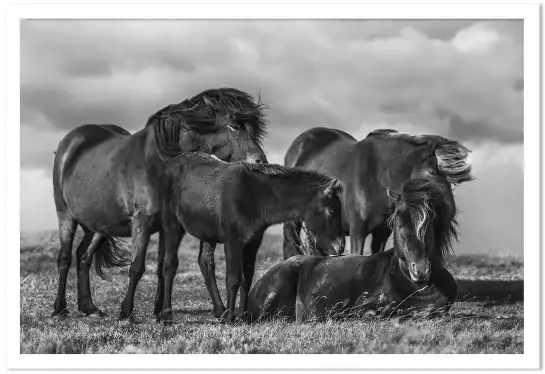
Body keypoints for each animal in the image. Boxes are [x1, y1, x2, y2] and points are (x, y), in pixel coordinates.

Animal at [52, 86, 268, 320]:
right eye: (234, 125)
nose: (260, 161)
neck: (161, 163)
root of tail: (70, 142)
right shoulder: (142, 222)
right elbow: (137, 267)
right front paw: (126, 312)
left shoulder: (168, 225)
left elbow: (166, 267)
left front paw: (161, 311)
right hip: (65, 216)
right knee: (65, 258)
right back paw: (59, 309)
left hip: (98, 225)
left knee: (84, 256)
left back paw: (89, 307)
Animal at [158, 152, 344, 324]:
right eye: (331, 211)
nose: (340, 246)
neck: (255, 196)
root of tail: (171, 163)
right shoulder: (233, 242)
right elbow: (233, 279)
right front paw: (231, 318)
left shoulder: (252, 242)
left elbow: (246, 278)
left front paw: (243, 315)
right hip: (171, 224)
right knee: (170, 264)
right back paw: (167, 313)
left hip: (207, 233)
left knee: (205, 263)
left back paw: (219, 310)